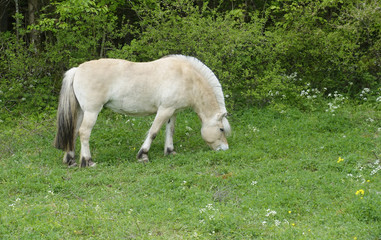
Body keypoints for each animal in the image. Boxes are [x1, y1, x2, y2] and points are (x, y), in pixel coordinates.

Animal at [53, 54, 230, 167]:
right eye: (221, 129)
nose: (225, 149)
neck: (186, 77)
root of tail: (77, 70)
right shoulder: (164, 110)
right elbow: (153, 132)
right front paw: (143, 155)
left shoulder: (172, 111)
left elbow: (170, 130)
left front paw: (170, 151)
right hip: (91, 111)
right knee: (84, 132)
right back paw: (87, 161)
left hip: (81, 111)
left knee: (73, 131)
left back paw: (71, 160)